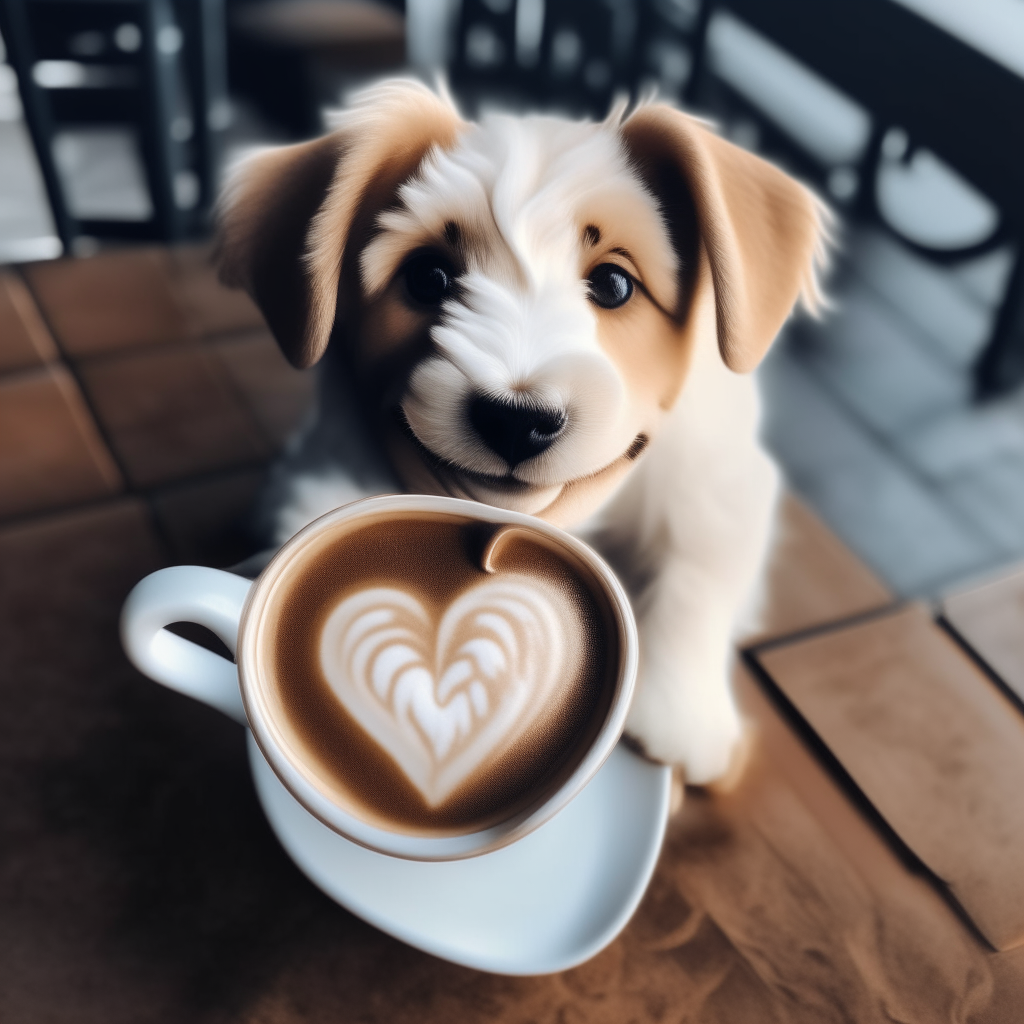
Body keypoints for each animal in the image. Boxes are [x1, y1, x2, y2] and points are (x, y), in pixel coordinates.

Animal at [214, 79, 823, 782]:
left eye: (614, 283)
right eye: (429, 276)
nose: (516, 419)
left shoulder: (717, 475)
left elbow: (701, 560)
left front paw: (680, 709)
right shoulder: (332, 458)